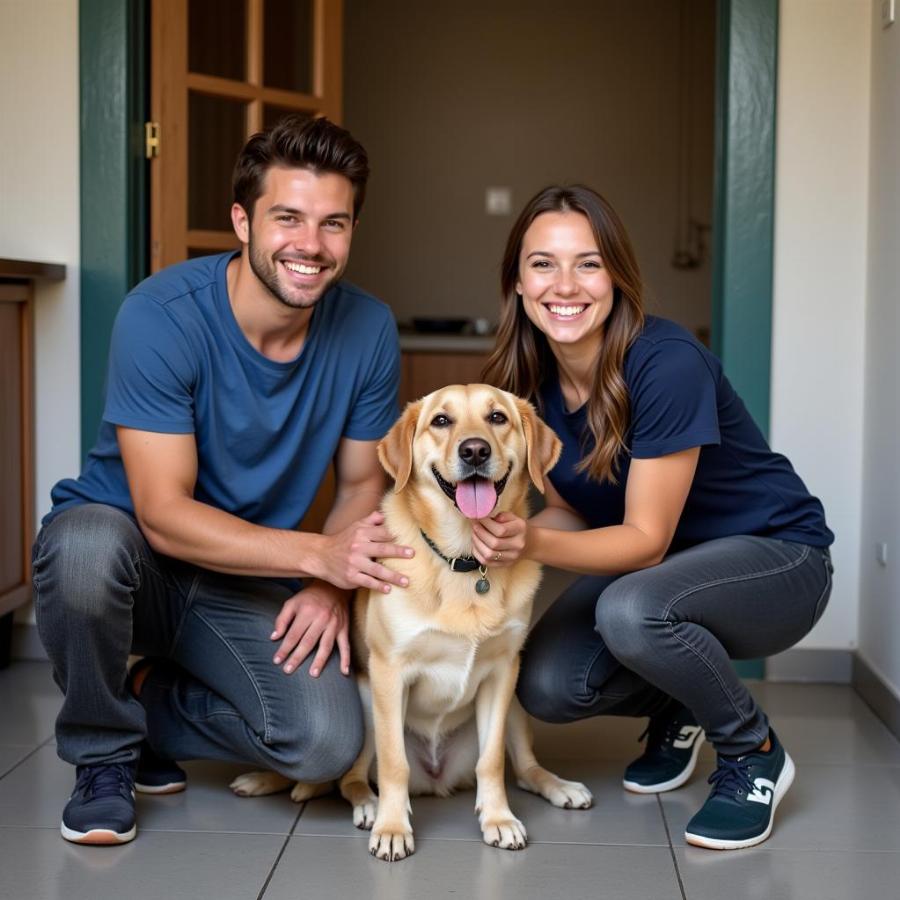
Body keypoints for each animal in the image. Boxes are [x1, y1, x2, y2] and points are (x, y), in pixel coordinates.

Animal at [234, 384, 592, 856]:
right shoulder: (389, 672)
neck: (464, 559)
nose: (474, 450)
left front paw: (498, 819)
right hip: (367, 705)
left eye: (497, 417)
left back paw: (559, 786)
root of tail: (436, 780)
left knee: (524, 768)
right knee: (352, 779)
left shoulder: (502, 672)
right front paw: (392, 828)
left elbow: (492, 761)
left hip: (514, 706)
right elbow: (393, 764)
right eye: (441, 421)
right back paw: (370, 806)